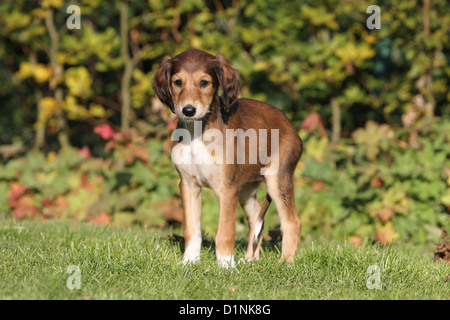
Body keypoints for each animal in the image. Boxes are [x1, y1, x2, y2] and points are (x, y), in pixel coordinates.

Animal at [152, 48, 302, 268]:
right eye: (177, 82)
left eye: (204, 82)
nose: (188, 110)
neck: (198, 132)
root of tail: (289, 124)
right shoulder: (188, 184)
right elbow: (191, 229)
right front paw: (190, 261)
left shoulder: (227, 188)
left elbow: (224, 232)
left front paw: (225, 266)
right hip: (246, 189)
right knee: (257, 218)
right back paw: (250, 260)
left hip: (277, 180)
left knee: (292, 223)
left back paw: (285, 263)